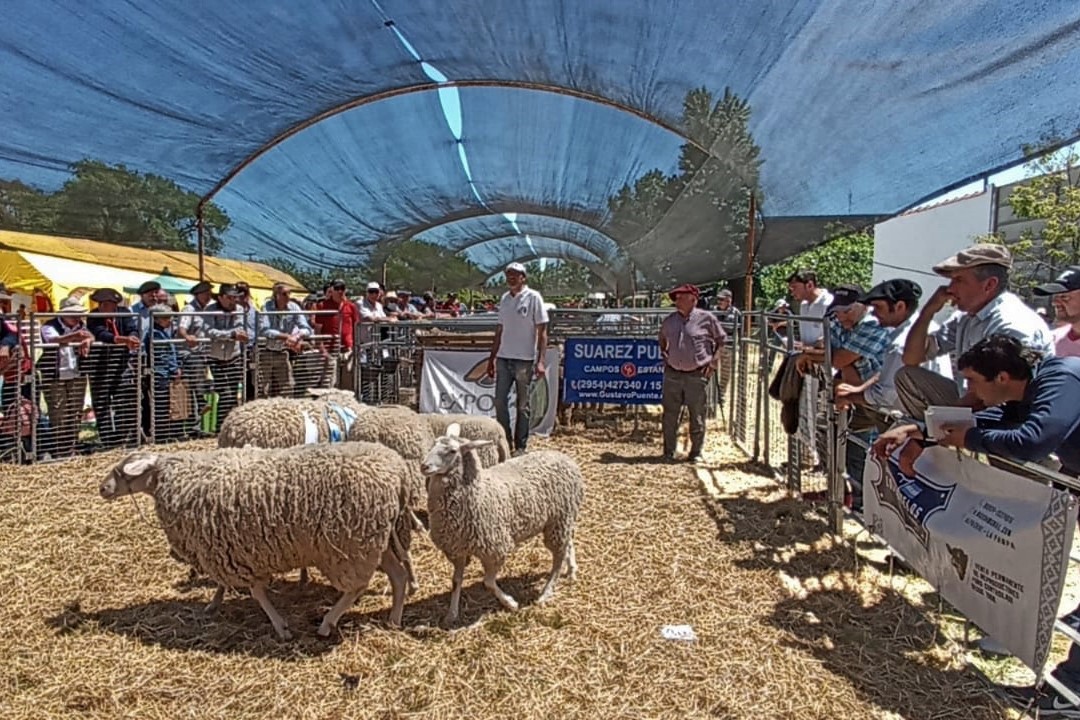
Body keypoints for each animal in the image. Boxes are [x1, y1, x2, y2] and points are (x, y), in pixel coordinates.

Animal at [100, 444, 412, 643]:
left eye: (123, 471)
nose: (102, 488)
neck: (178, 480)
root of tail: (398, 474)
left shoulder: (235, 552)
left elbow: (257, 593)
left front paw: (281, 628)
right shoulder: (227, 547)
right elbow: (231, 586)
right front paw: (214, 604)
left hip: (348, 546)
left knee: (357, 587)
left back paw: (326, 624)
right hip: (375, 539)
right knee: (398, 576)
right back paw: (394, 621)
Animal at [416, 423, 583, 626]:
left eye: (452, 451)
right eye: (434, 444)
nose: (424, 466)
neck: (477, 492)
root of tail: (567, 459)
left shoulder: (495, 548)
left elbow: (488, 582)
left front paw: (510, 603)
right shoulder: (457, 549)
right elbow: (456, 581)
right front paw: (452, 614)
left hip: (558, 522)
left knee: (558, 558)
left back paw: (546, 592)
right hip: (563, 518)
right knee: (569, 542)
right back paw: (571, 570)